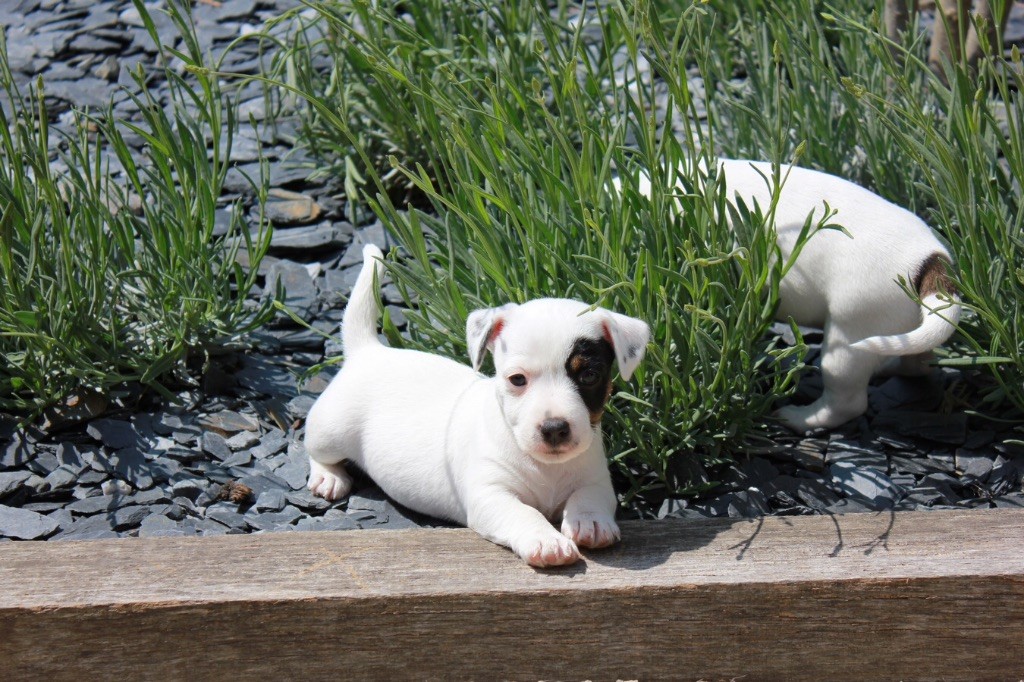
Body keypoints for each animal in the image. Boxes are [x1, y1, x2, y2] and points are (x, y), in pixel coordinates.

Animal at [305, 245, 650, 567]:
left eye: (589, 376)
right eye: (517, 379)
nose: (554, 428)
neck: (545, 467)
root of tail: (367, 351)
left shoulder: (596, 479)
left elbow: (589, 497)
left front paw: (589, 522)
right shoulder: (490, 494)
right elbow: (523, 512)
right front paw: (545, 539)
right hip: (331, 431)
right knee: (316, 449)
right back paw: (328, 477)